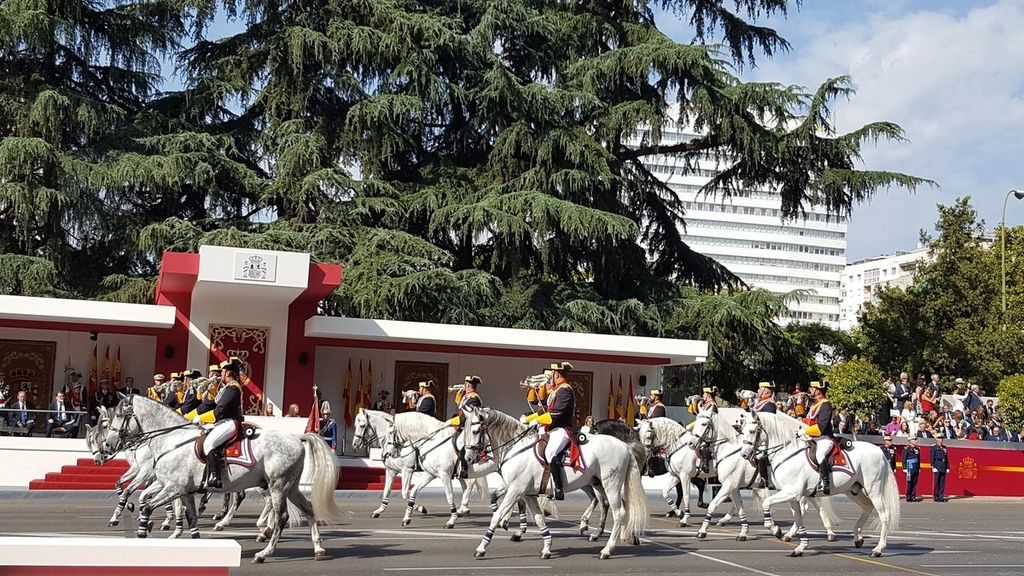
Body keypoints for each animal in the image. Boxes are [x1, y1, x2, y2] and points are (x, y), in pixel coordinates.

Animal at [101, 393, 346, 561]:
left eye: (120, 416)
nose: (108, 445)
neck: (172, 439)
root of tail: (296, 438)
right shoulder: (181, 490)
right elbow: (189, 517)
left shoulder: (173, 488)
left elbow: (147, 506)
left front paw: (143, 532)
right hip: (290, 487)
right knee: (308, 508)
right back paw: (318, 548)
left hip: (277, 486)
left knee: (281, 517)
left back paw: (263, 551)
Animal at [464, 403, 647, 557]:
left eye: (475, 432)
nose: (468, 458)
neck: (516, 448)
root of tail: (624, 446)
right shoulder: (527, 493)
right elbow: (538, 518)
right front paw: (546, 547)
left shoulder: (515, 490)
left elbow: (497, 516)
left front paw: (482, 547)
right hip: (598, 483)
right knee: (615, 505)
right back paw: (619, 535)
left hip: (610, 485)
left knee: (618, 512)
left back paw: (607, 549)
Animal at [741, 409, 901, 553]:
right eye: (742, 430)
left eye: (752, 431)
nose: (744, 454)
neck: (786, 454)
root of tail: (879, 451)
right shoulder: (793, 496)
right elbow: (798, 518)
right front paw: (801, 546)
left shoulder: (791, 492)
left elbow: (766, 503)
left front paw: (776, 529)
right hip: (852, 490)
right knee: (868, 507)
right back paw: (858, 537)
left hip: (873, 489)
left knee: (884, 515)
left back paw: (878, 548)